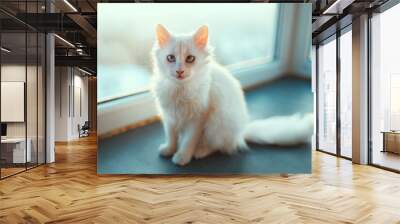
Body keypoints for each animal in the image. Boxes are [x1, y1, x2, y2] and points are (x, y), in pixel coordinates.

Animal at [150, 24, 312, 165]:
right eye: (171, 58)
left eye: (190, 58)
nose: (180, 71)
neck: (180, 89)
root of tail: (241, 132)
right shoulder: (169, 117)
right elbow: (171, 137)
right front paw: (169, 150)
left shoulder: (198, 119)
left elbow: (188, 141)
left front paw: (182, 157)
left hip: (217, 124)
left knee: (219, 147)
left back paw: (200, 151)